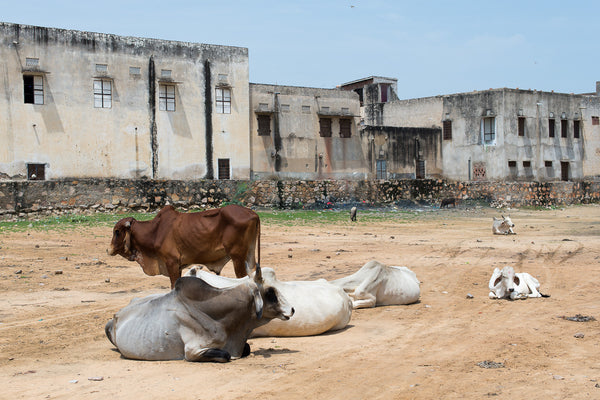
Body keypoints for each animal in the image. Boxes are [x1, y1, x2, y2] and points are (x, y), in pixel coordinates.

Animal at [107, 206, 260, 288]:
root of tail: (253, 213)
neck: (155, 231)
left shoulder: (171, 262)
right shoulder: (178, 266)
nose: (108, 249)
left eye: (117, 231)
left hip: (237, 257)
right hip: (249, 255)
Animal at [108, 266, 298, 362]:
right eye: (270, 292)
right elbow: (225, 355)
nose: (292, 309)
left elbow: (247, 348)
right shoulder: (192, 351)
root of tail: (117, 315)